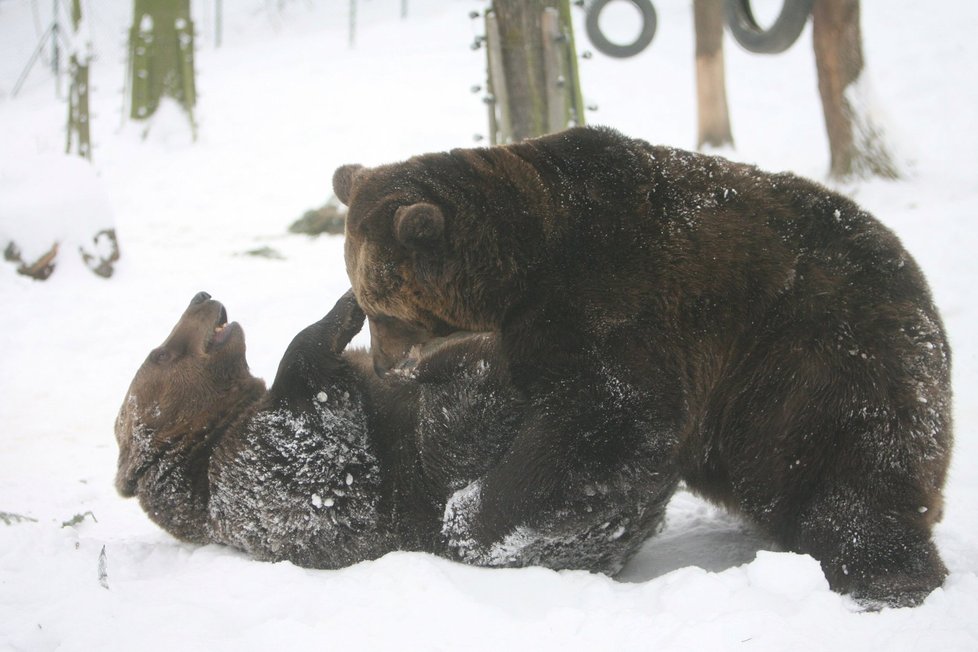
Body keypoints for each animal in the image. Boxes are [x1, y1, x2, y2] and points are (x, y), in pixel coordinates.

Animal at [336, 123, 952, 608]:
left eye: (383, 312)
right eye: (367, 305)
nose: (386, 367)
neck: (517, 268)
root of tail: (924, 296)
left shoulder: (618, 300)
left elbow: (608, 420)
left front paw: (469, 519)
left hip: (814, 354)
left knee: (853, 469)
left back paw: (884, 573)